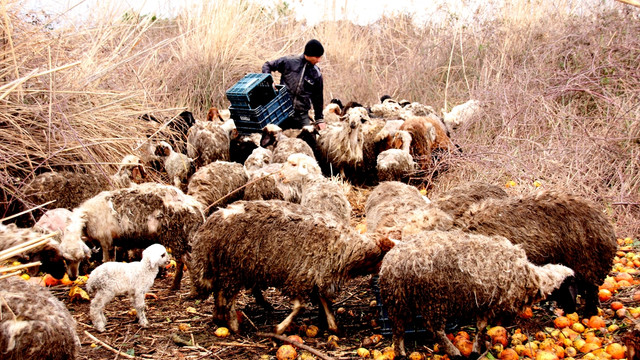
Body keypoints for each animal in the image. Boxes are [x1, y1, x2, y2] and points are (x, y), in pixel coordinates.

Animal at [61, 183, 204, 290]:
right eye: (65, 259)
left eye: (79, 258)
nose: (72, 277)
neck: (88, 217)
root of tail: (195, 206)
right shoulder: (110, 243)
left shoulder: (106, 241)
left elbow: (106, 262)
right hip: (179, 237)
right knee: (181, 261)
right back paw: (175, 287)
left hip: (175, 235)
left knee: (188, 261)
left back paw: (193, 292)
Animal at [190, 198, 396, 334]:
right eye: (385, 256)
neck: (345, 248)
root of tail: (210, 225)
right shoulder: (301, 276)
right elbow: (301, 306)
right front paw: (279, 328)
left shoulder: (316, 276)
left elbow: (324, 302)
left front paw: (333, 325)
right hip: (233, 268)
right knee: (228, 297)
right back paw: (233, 325)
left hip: (225, 268)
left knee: (219, 292)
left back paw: (219, 317)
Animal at [380, 231, 576, 358]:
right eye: (568, 289)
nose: (572, 310)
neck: (533, 277)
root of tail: (391, 261)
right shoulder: (491, 302)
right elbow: (482, 326)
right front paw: (477, 347)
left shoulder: (483, 303)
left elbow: (481, 326)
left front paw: (476, 348)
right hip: (433, 300)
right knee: (435, 329)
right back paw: (454, 353)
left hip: (398, 301)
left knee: (398, 329)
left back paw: (400, 353)